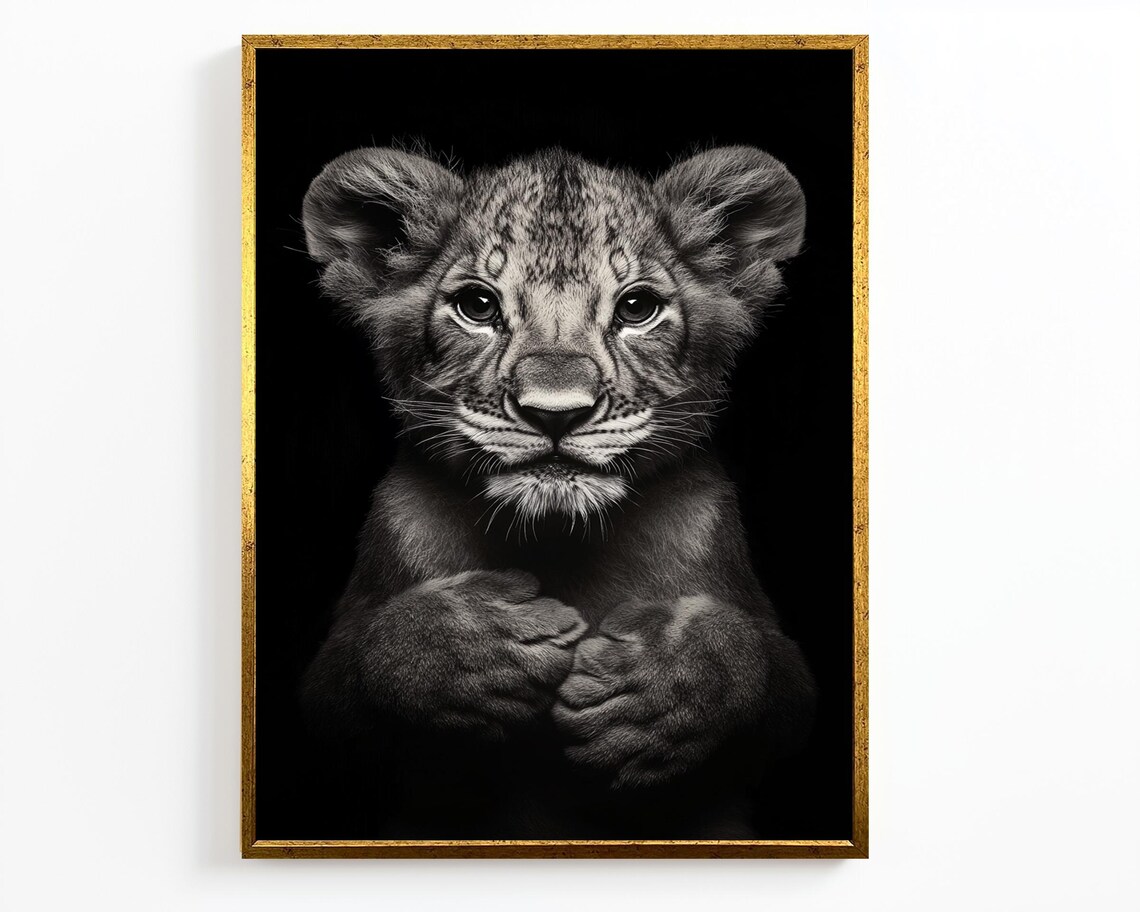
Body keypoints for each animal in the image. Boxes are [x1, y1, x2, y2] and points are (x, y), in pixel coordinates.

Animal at [298, 145, 816, 838]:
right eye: (477, 306)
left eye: (637, 308)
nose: (555, 411)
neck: (558, 539)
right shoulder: (335, 696)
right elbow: (366, 659)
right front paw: (473, 646)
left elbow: (752, 661)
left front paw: (660, 687)